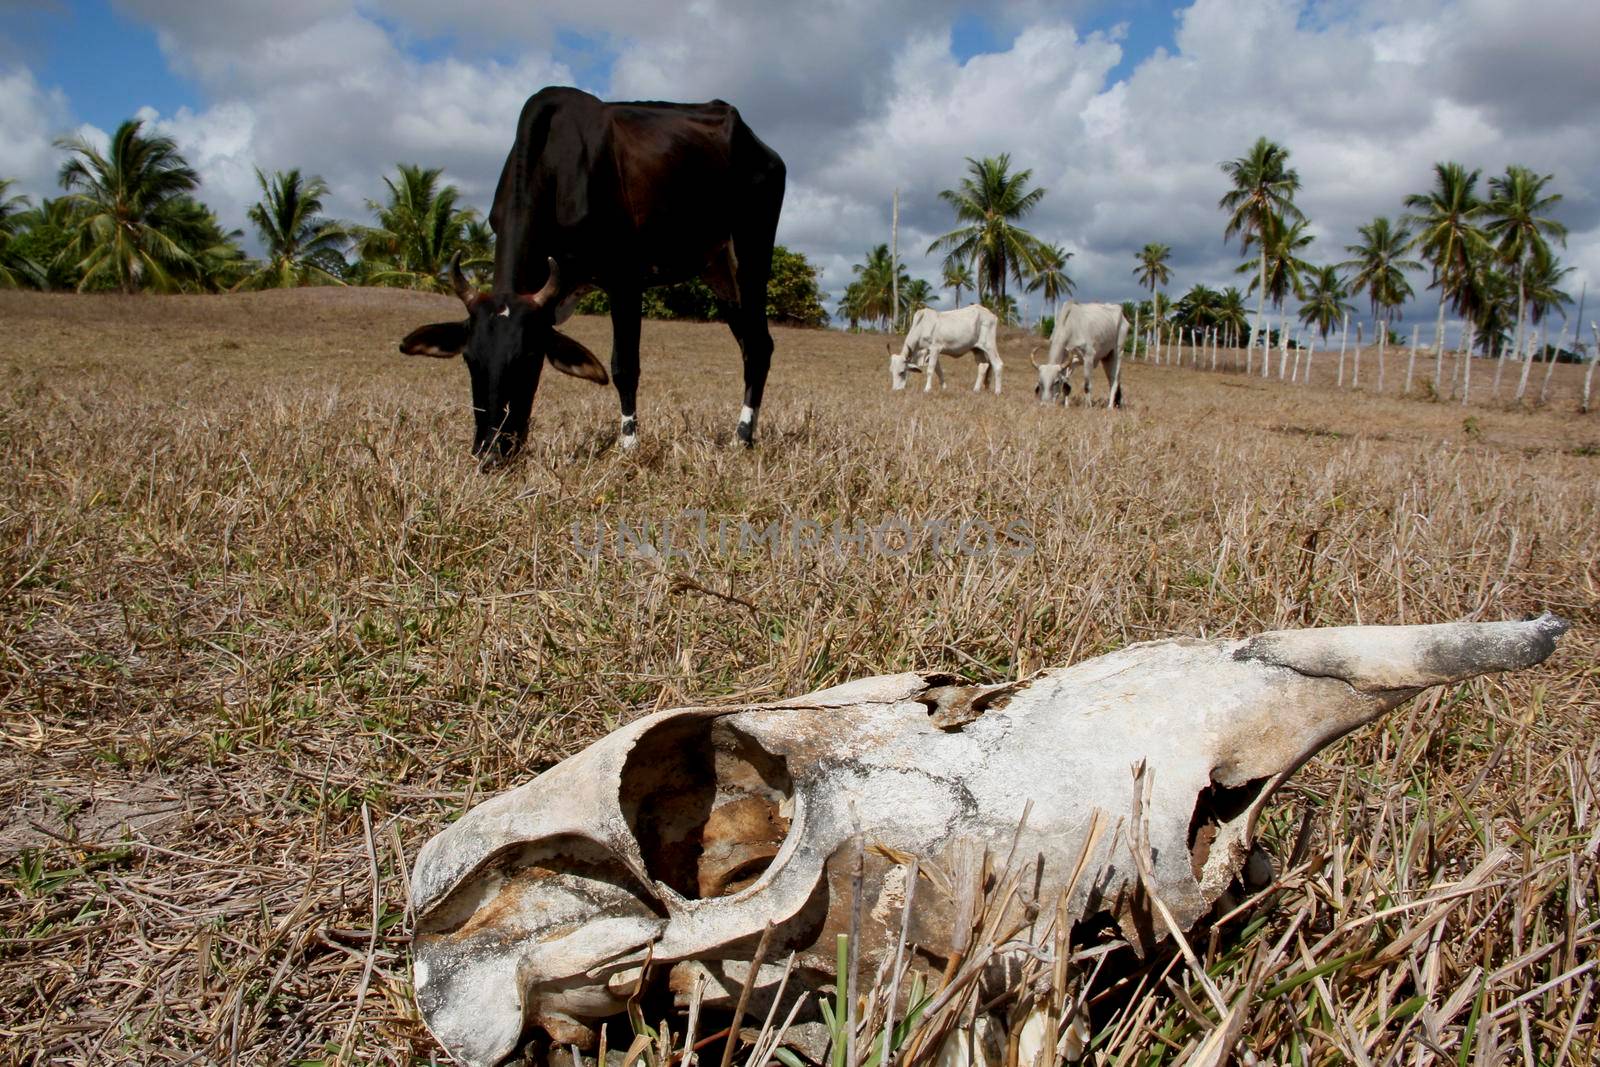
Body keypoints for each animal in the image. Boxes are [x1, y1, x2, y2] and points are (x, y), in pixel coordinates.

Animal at [400, 86, 787, 463]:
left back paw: (742, 438)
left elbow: (624, 365)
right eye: (469, 359)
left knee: (759, 346)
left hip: (753, 254)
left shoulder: (625, 278)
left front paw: (628, 445)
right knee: (749, 345)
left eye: (528, 358)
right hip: (719, 269)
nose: (491, 453)